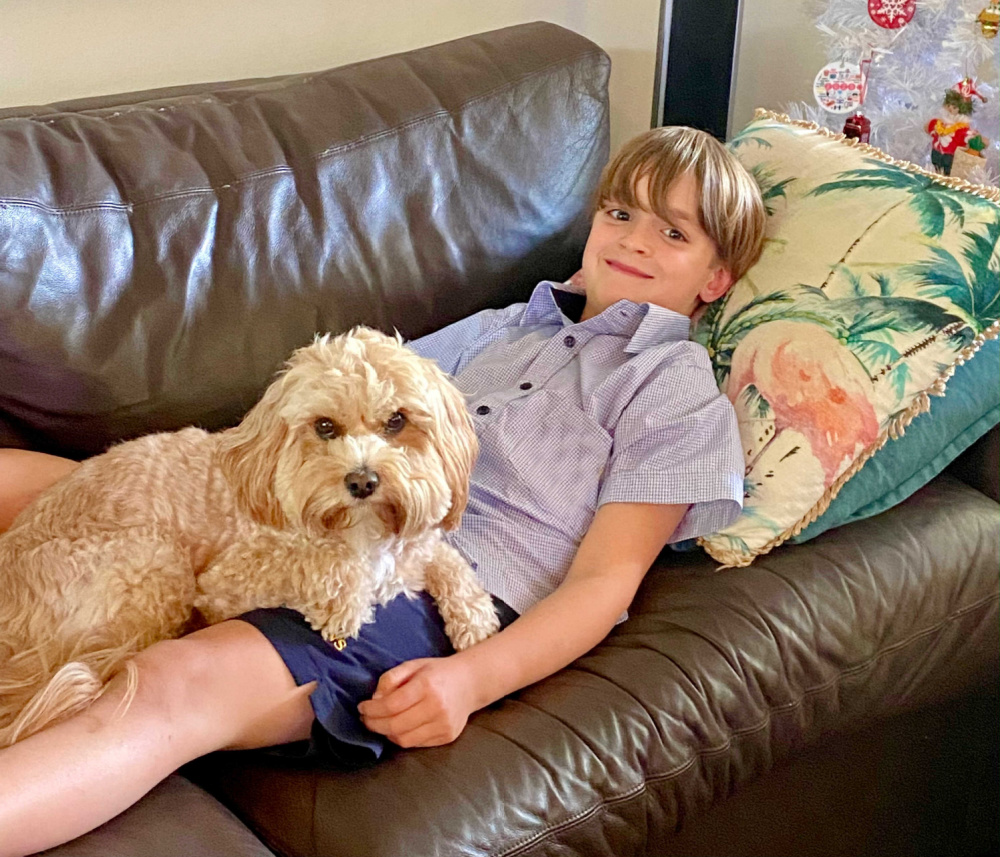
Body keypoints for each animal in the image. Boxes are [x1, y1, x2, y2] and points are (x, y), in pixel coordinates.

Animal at [0, 328, 500, 744]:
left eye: (397, 421)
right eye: (324, 426)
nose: (362, 481)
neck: (360, 533)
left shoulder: (409, 550)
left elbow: (440, 556)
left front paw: (475, 616)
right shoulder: (226, 584)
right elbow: (317, 566)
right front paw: (343, 603)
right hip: (155, 564)